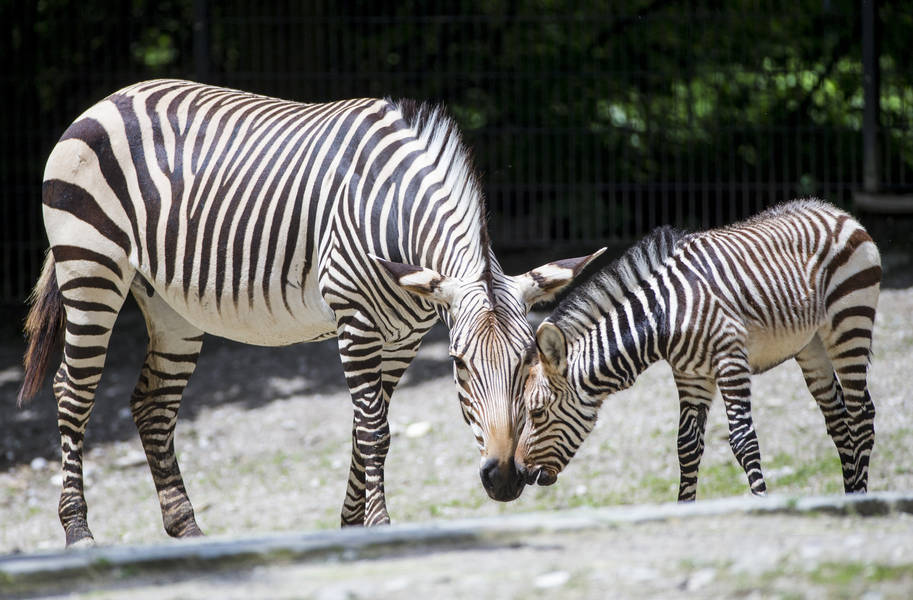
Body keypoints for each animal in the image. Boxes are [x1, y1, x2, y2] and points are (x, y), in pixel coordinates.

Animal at [17, 79, 602, 547]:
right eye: (458, 364)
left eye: (528, 363)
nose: (504, 479)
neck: (394, 210)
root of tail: (110, 99)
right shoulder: (356, 322)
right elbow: (375, 432)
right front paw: (379, 528)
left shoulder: (403, 339)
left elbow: (364, 430)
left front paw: (350, 526)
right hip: (90, 267)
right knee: (74, 391)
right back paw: (78, 532)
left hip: (170, 305)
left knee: (152, 403)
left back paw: (188, 531)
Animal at [514, 199, 881, 501]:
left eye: (537, 412)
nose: (518, 473)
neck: (662, 317)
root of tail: (837, 212)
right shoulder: (690, 375)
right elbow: (686, 446)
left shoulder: (731, 360)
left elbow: (743, 439)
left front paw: (761, 502)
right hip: (811, 344)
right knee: (838, 419)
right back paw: (849, 494)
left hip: (850, 322)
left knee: (861, 414)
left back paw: (860, 497)